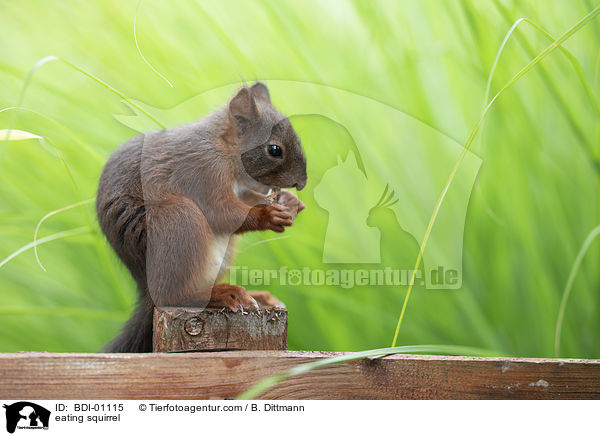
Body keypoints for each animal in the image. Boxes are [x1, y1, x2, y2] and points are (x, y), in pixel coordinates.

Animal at [98, 82, 308, 352]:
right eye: (274, 150)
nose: (301, 183)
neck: (222, 146)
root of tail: (146, 287)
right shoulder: (202, 170)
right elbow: (221, 213)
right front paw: (267, 215)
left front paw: (290, 202)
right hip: (180, 220)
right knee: (172, 296)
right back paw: (223, 294)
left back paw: (253, 295)